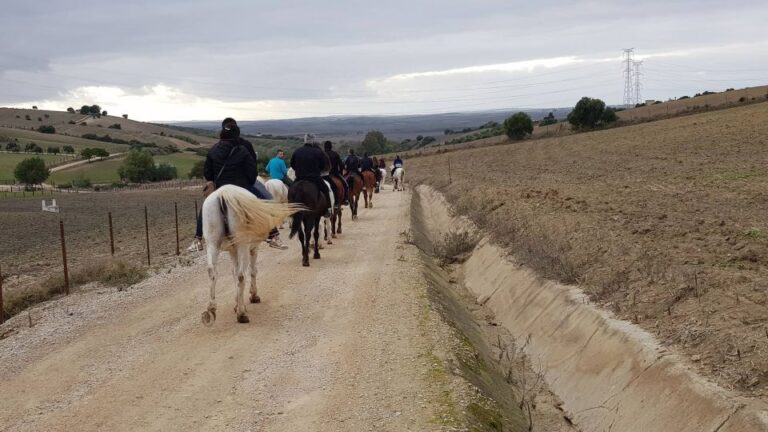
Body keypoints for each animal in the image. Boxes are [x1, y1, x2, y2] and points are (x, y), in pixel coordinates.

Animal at [201, 185, 300, 324]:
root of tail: (223, 194)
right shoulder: (252, 249)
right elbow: (252, 271)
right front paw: (252, 297)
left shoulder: (233, 250)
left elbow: (233, 272)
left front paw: (237, 303)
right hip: (242, 245)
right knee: (241, 275)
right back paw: (241, 314)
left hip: (212, 243)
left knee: (213, 272)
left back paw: (211, 309)